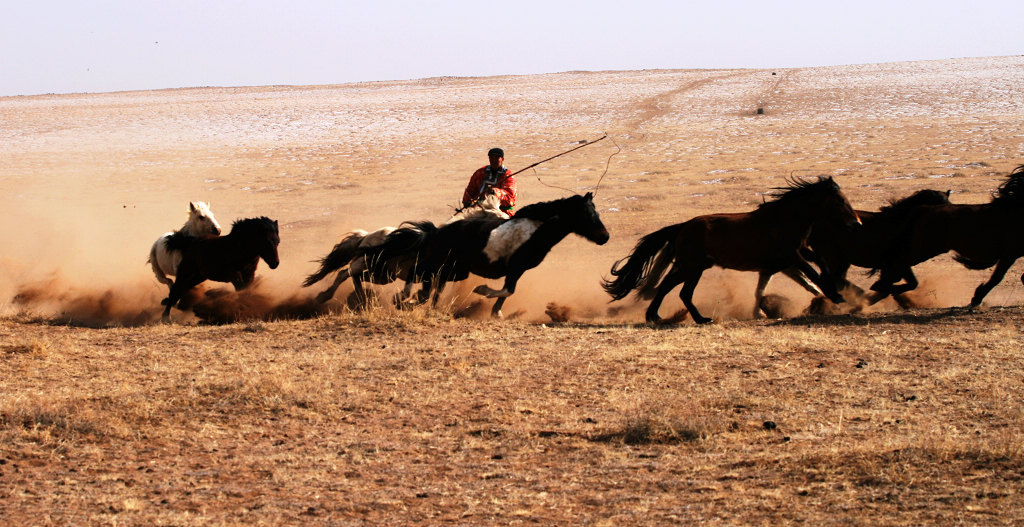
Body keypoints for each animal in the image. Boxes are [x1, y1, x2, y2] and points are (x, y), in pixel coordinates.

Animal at [303, 195, 512, 306]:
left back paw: (362, 300)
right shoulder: (426, 273)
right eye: (495, 215)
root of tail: (365, 236)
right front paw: (403, 302)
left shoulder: (440, 277)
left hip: (383, 275)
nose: (510, 222)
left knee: (355, 277)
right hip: (366, 263)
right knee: (343, 273)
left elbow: (430, 296)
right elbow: (423, 295)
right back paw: (324, 296)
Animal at [364, 193, 610, 317]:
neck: (535, 229)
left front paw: (496, 312)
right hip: (442, 264)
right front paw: (482, 291)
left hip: (455, 270)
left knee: (428, 284)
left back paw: (415, 302)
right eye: (587, 213)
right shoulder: (515, 267)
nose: (605, 237)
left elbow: (508, 291)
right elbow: (507, 290)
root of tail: (436, 231)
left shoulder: (517, 271)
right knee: (418, 273)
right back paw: (402, 298)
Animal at [602, 178, 860, 325]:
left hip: (691, 266)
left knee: (668, 286)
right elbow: (812, 273)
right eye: (839, 200)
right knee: (680, 291)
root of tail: (682, 227)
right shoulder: (791, 255)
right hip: (693, 267)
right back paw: (697, 319)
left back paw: (658, 316)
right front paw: (836, 296)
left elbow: (819, 264)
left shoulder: (798, 252)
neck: (786, 218)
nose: (856, 223)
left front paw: (835, 293)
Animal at [868, 162, 1024, 306]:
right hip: (923, 250)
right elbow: (997, 278)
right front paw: (976, 299)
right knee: (897, 265)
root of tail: (921, 209)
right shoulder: (1009, 255)